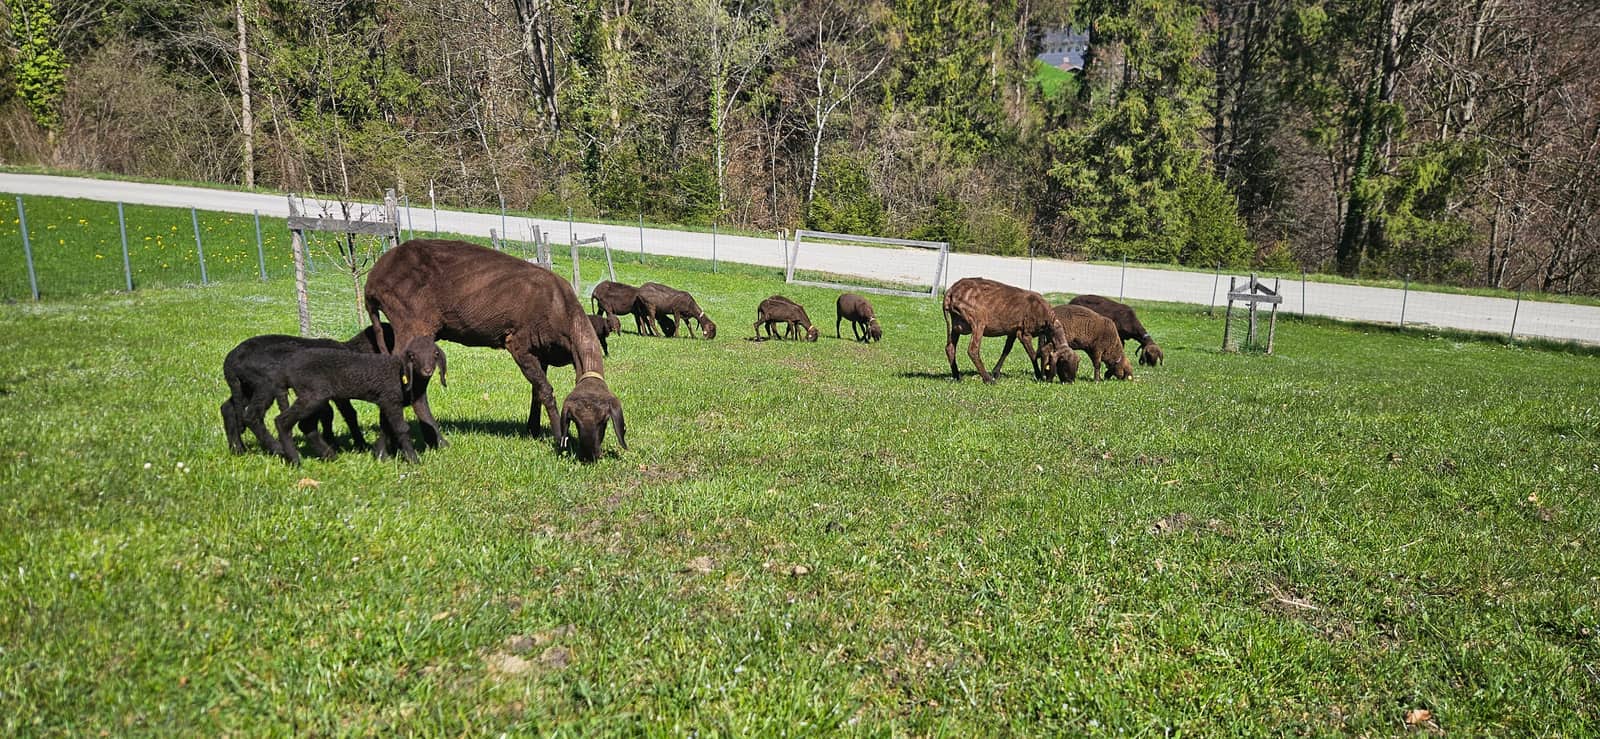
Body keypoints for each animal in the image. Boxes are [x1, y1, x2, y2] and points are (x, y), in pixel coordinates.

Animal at [269, 336, 443, 465]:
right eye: (412, 356)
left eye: (436, 354)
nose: (427, 370)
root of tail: (286, 371)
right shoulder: (390, 399)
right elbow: (401, 428)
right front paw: (413, 460)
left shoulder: (385, 401)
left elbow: (385, 428)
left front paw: (381, 455)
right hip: (312, 395)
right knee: (282, 421)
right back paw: (295, 460)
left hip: (314, 397)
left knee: (306, 426)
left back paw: (330, 456)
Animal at [363, 238, 626, 462]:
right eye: (575, 421)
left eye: (604, 422)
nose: (591, 456)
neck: (564, 313)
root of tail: (372, 281)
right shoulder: (519, 344)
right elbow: (546, 392)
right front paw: (558, 437)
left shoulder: (540, 352)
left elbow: (536, 391)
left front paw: (532, 429)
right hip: (413, 323)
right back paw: (435, 440)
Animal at [942, 277, 1070, 383]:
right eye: (1063, 363)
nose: (1069, 381)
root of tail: (950, 292)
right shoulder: (1024, 333)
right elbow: (1032, 354)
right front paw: (1039, 376)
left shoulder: (1013, 330)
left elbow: (1007, 349)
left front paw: (996, 372)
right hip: (977, 321)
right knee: (972, 350)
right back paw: (988, 380)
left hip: (955, 324)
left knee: (950, 348)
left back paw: (957, 376)